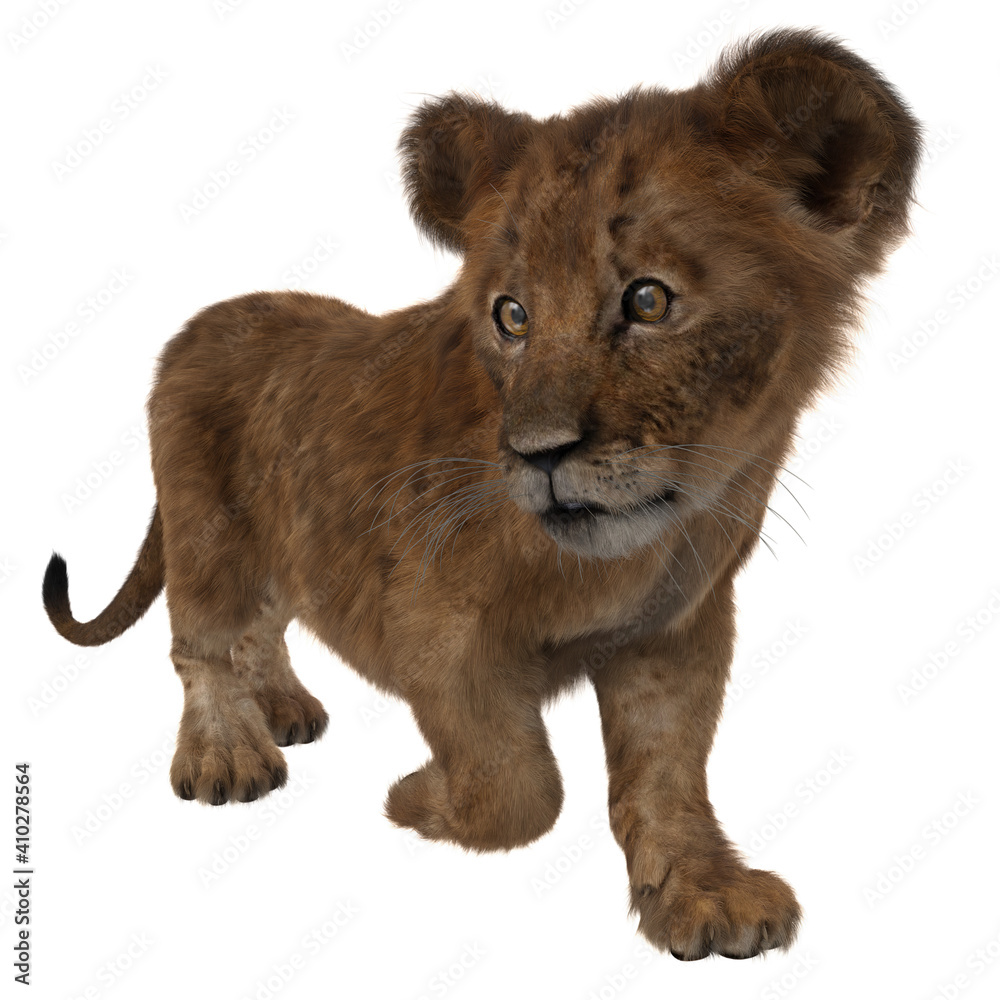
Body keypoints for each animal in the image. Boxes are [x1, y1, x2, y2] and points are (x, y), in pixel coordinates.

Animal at [42, 29, 920, 959]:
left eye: (648, 300)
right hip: (207, 533)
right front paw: (420, 796)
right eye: (512, 316)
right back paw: (227, 758)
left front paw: (701, 895)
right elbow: (519, 789)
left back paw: (281, 709)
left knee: (267, 624)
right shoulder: (438, 631)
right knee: (203, 643)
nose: (540, 454)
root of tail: (196, 325)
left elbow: (668, 775)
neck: (619, 559)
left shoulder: (674, 633)